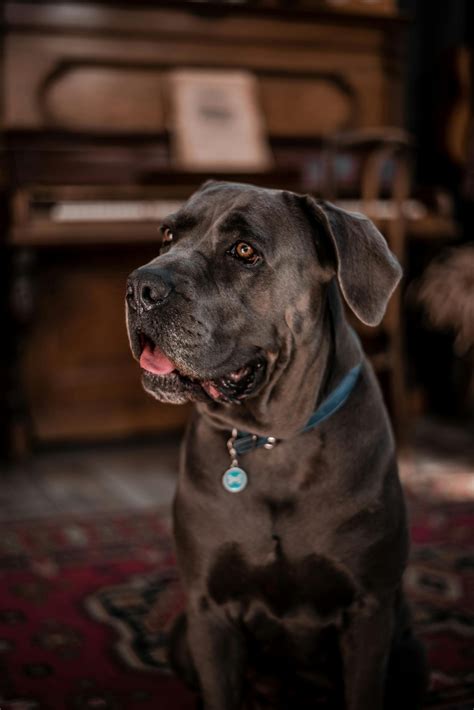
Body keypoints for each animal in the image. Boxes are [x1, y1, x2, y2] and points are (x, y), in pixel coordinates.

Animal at [125, 182, 426, 710]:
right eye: (167, 235)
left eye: (245, 251)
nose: (141, 287)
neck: (274, 441)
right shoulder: (208, 612)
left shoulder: (370, 612)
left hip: (409, 651)